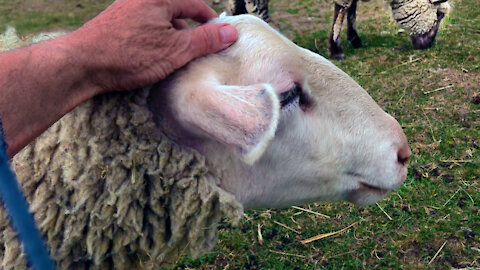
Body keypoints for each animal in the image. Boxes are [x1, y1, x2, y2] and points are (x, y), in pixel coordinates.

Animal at [227, 0, 452, 59]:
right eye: (440, 15)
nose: (428, 46)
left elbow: (351, 10)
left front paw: (355, 39)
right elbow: (342, 11)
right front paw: (336, 49)